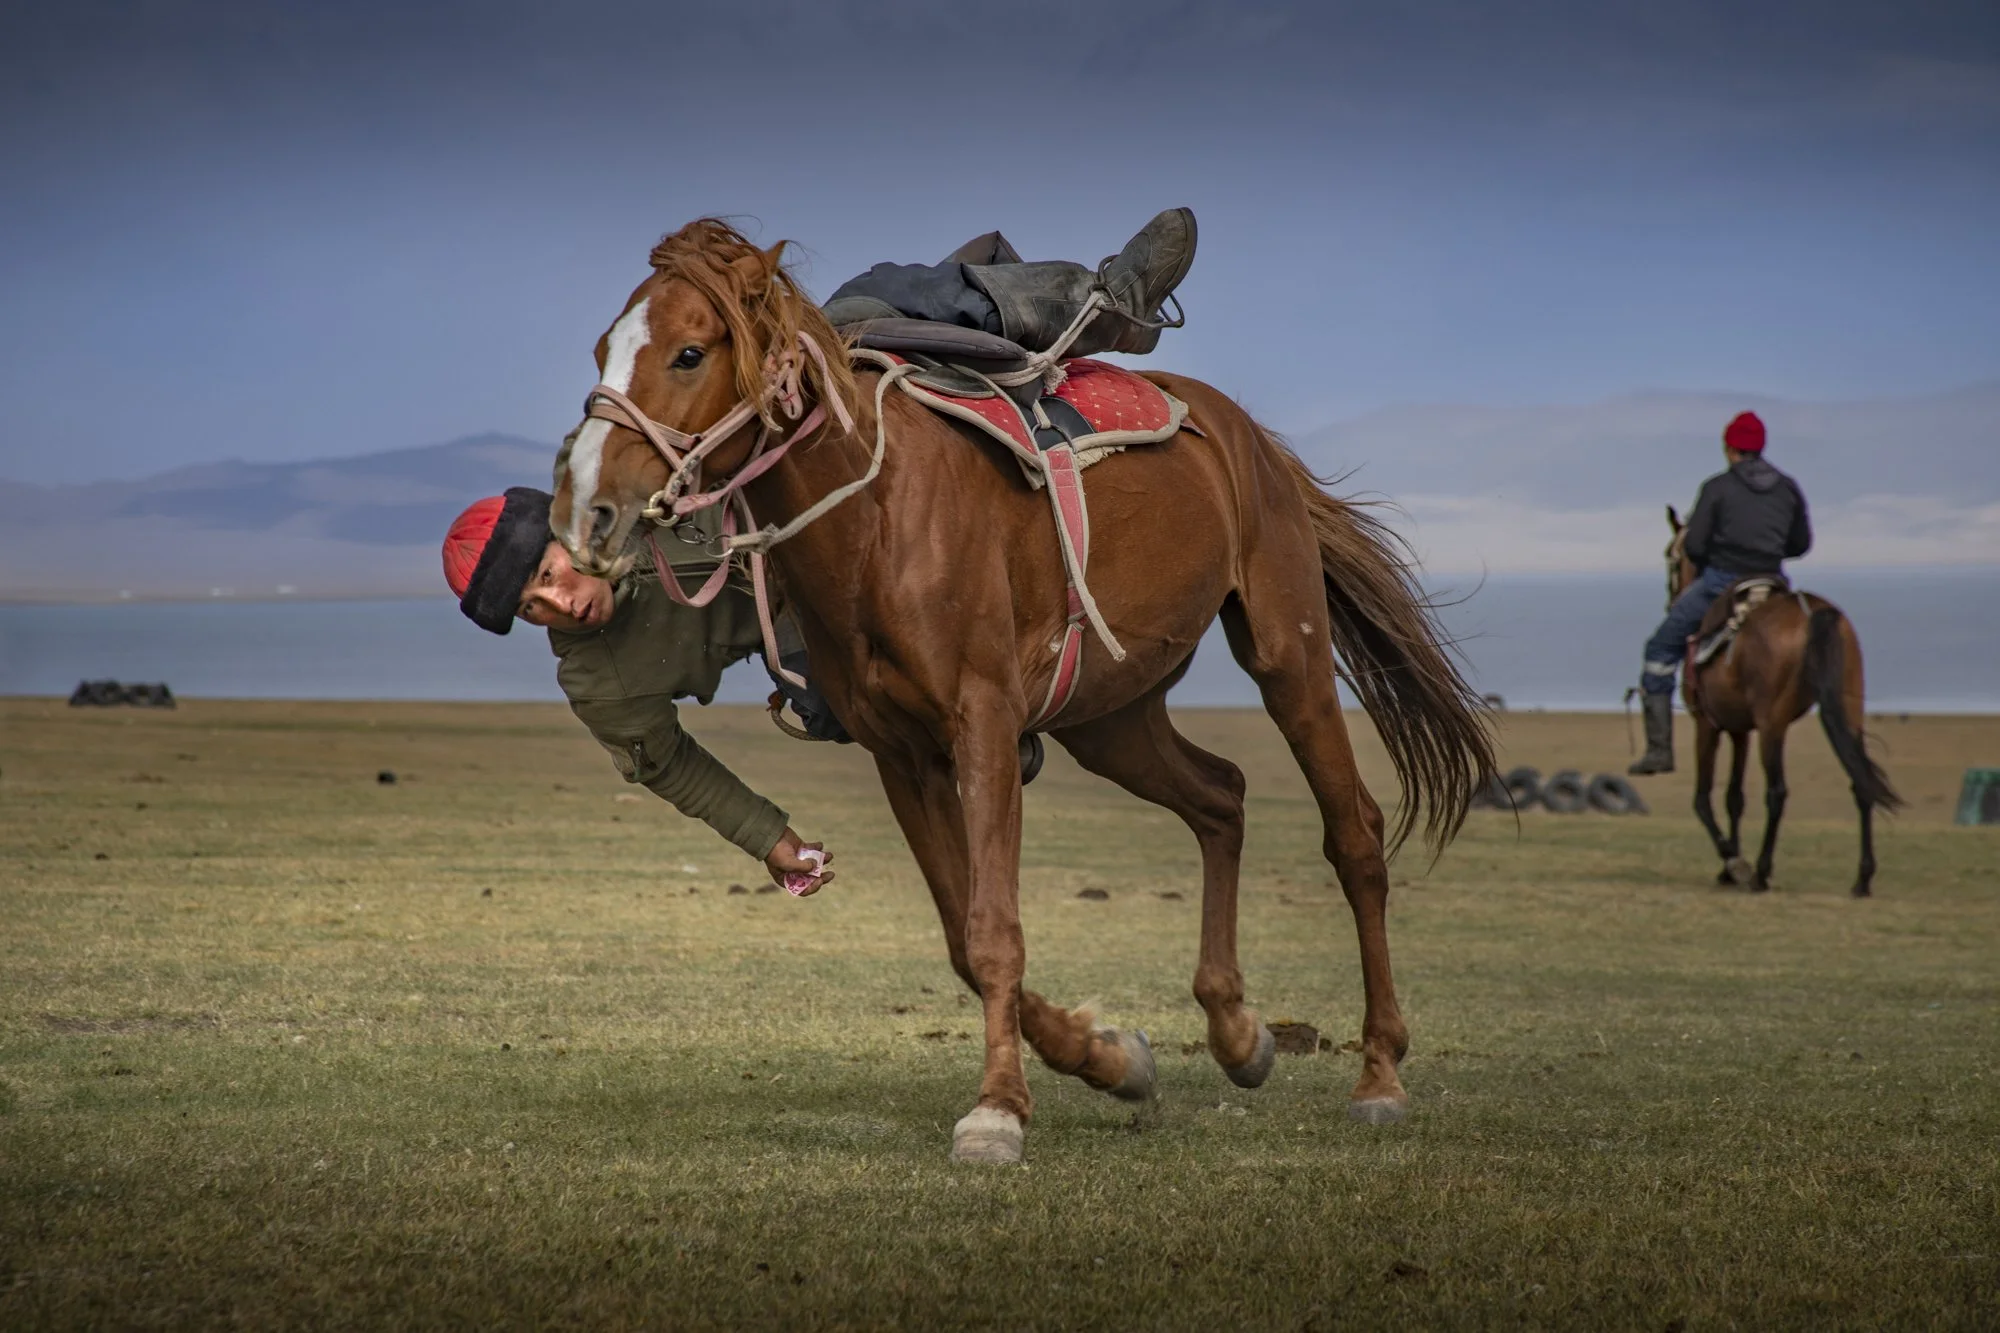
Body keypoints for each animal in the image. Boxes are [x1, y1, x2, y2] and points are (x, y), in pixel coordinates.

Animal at [552, 219, 1495, 1164]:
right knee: (1221, 797)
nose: (586, 513)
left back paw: (1379, 1073)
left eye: (688, 352)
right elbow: (963, 938)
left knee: (1355, 835)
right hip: (1113, 718)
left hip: (1286, 655)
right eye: (600, 349)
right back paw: (1236, 1031)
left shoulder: (986, 724)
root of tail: (1251, 439)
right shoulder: (903, 754)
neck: (878, 519)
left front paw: (998, 1108)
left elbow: (993, 931)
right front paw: (1108, 1057)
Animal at [1663, 507, 1899, 896]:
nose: (1671, 601)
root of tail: (1813, 612)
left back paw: (1760, 872)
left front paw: (1734, 864)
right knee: (1860, 780)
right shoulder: (1740, 729)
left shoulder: (1708, 724)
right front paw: (1728, 869)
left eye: (1671, 554)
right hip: (1849, 710)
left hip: (1772, 724)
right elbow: (1734, 797)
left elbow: (1703, 798)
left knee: (1777, 791)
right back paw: (1862, 879)